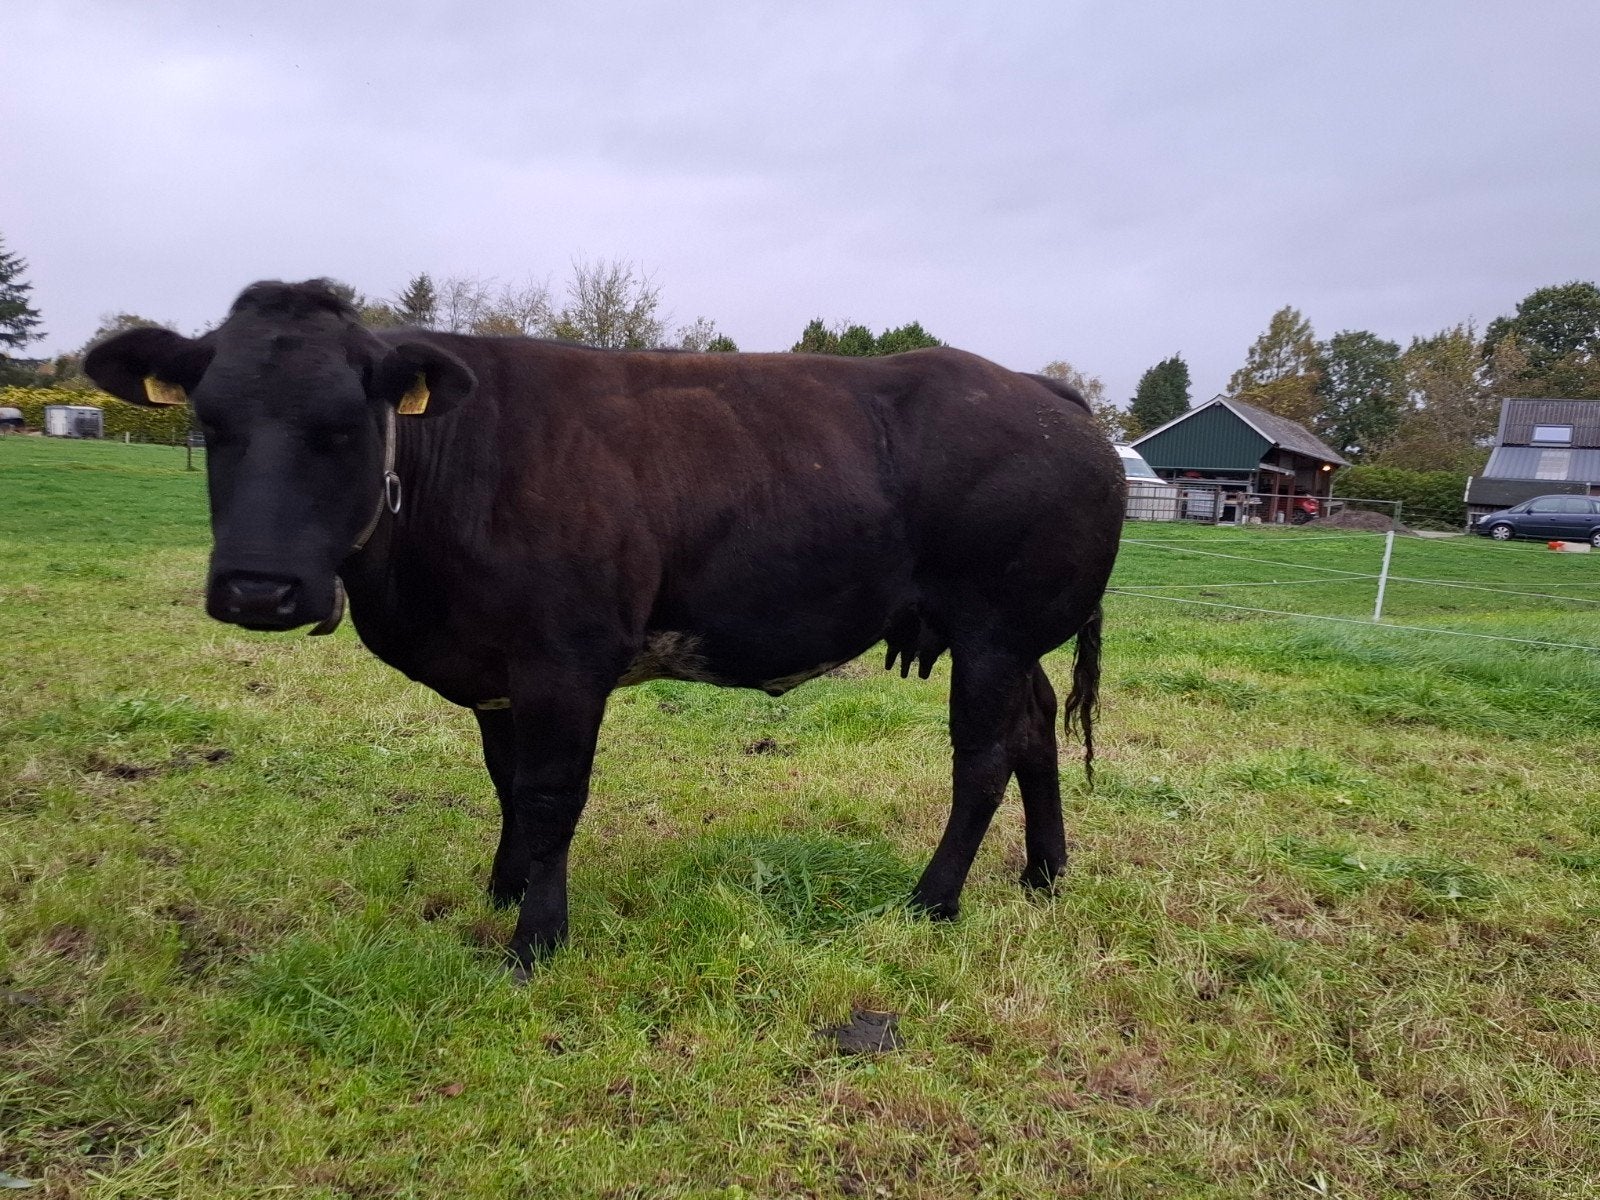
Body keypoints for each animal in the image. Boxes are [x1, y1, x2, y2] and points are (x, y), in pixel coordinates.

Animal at [85, 280, 1124, 971]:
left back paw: (931, 902)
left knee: (982, 759)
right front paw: (503, 886)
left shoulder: (564, 662)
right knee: (1034, 734)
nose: (258, 591)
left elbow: (552, 796)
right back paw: (1043, 874)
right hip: (1012, 639)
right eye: (212, 423)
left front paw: (535, 940)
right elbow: (507, 787)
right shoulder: (498, 671)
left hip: (992, 631)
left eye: (346, 426)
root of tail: (1038, 389)